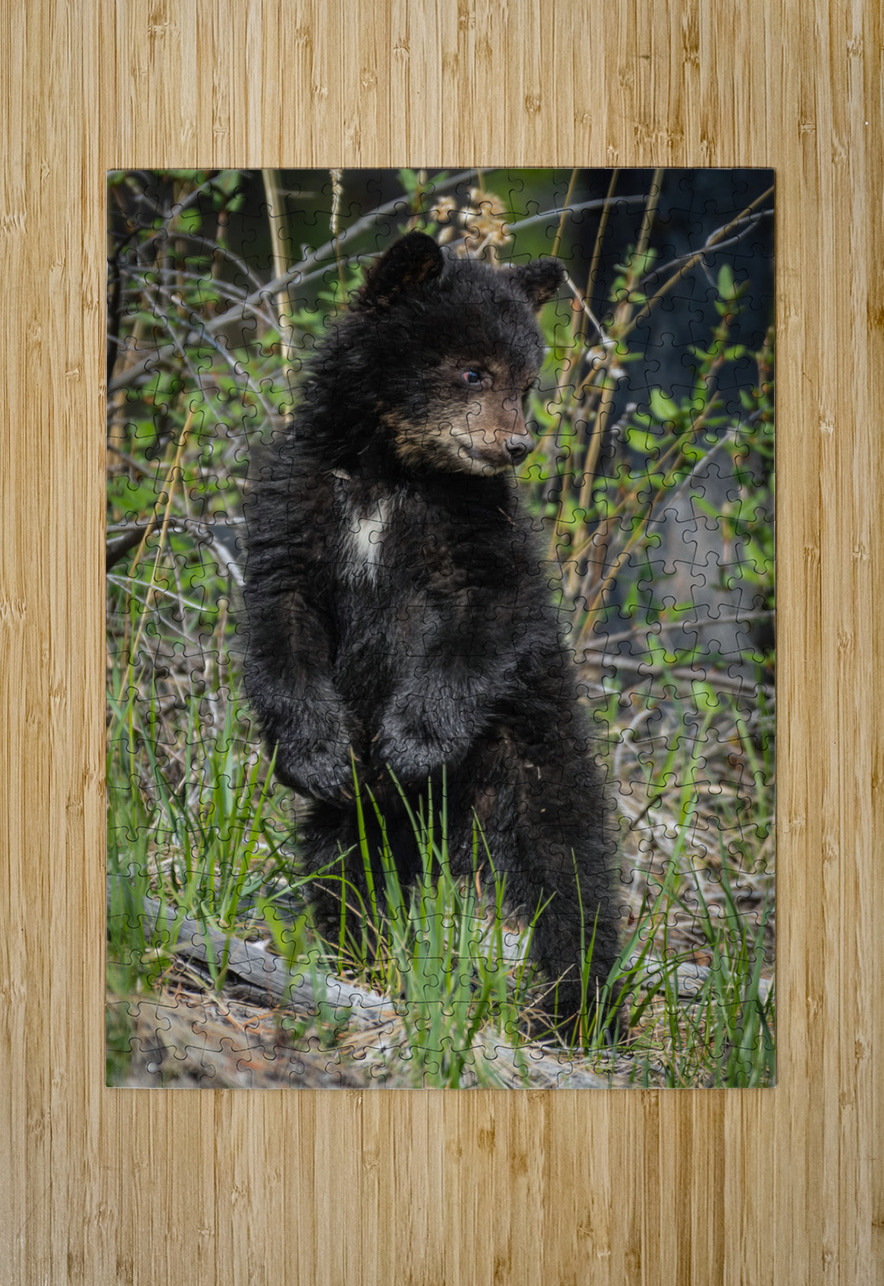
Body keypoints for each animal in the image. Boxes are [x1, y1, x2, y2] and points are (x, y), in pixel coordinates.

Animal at [243, 230, 621, 1036]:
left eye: (527, 381)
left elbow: (484, 617)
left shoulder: (477, 527)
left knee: (570, 871)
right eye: (473, 370)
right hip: (363, 815)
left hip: (528, 754)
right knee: (346, 861)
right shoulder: (299, 501)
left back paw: (577, 1002)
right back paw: (357, 958)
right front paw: (311, 751)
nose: (515, 444)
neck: (390, 470)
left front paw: (415, 741)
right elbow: (280, 616)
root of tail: (445, 825)